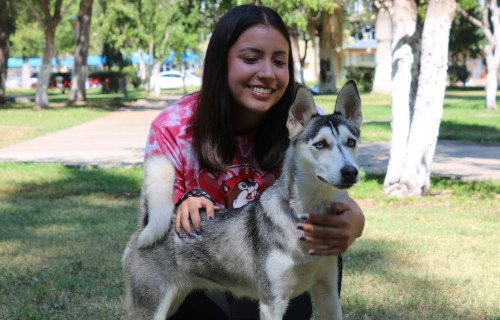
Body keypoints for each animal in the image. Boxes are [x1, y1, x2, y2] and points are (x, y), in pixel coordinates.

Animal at [122, 80, 362, 320]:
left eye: (351, 142)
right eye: (321, 144)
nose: (351, 171)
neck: (305, 217)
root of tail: (146, 223)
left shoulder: (328, 292)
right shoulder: (272, 302)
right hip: (152, 308)